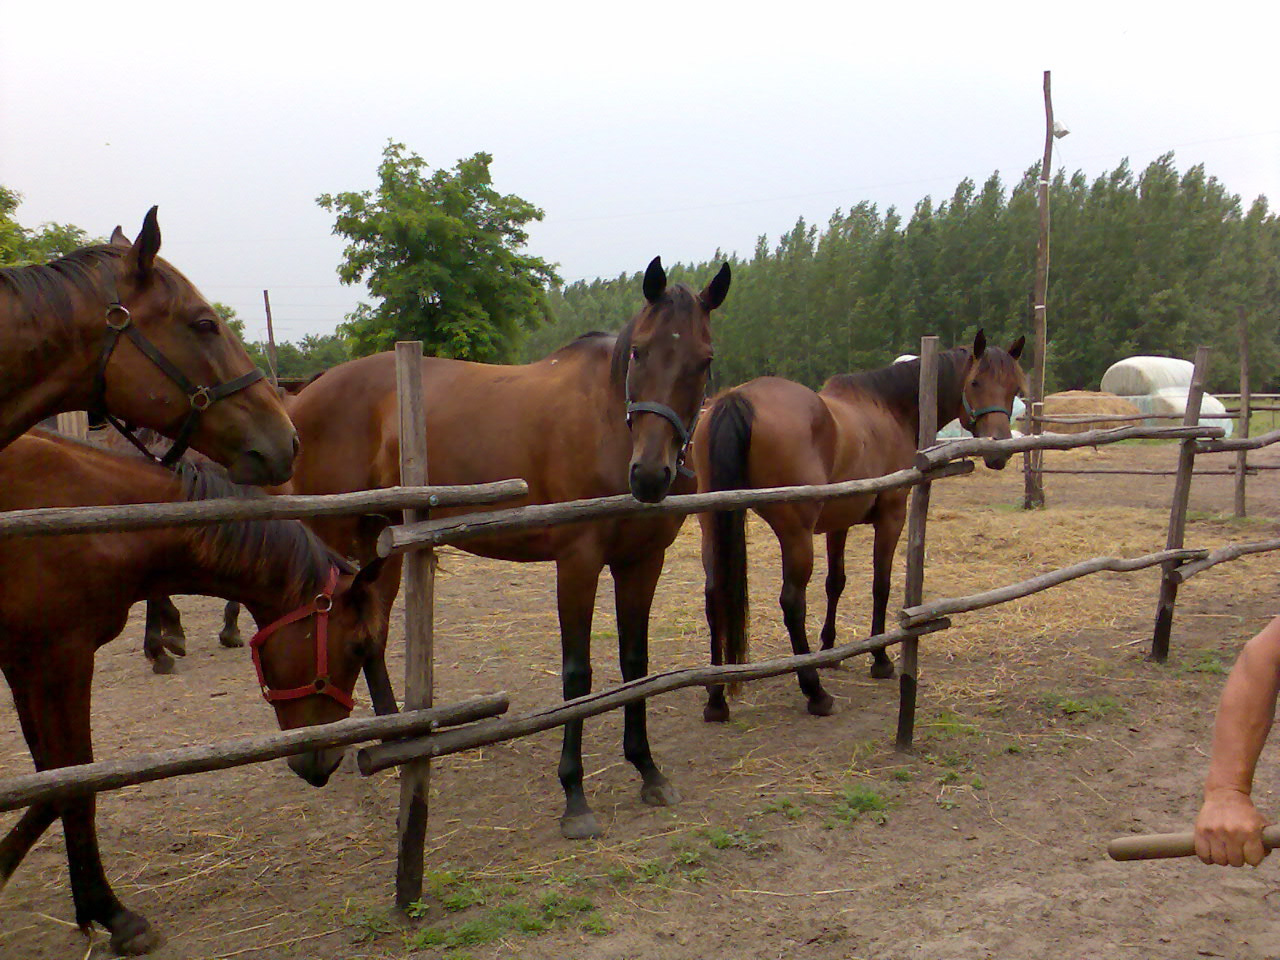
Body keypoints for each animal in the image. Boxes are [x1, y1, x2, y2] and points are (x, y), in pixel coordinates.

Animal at [0, 435, 386, 957]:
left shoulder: (24, 664)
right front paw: (113, 914)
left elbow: (49, 781)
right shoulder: (60, 661)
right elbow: (75, 784)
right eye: (360, 647)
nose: (325, 762)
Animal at [288, 259, 732, 839]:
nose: (652, 475)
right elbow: (578, 673)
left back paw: (398, 739)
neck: (607, 422)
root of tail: (305, 396)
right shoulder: (578, 561)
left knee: (373, 636)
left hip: (381, 546)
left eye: (704, 361)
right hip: (342, 543)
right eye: (640, 352)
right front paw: (574, 795)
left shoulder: (642, 562)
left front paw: (647, 769)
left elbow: (635, 662)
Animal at [696, 330, 1024, 721]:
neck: (889, 409)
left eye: (1015, 387)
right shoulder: (892, 516)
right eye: (975, 382)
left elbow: (835, 583)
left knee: (715, 594)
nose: (998, 451)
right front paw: (879, 659)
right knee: (792, 602)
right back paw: (814, 692)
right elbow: (880, 585)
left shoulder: (838, 525)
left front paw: (830, 649)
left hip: (712, 525)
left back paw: (717, 698)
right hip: (794, 535)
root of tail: (737, 398)